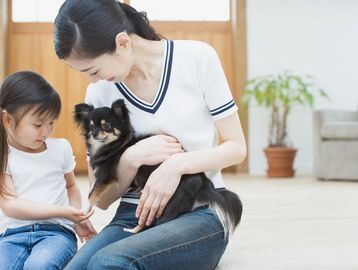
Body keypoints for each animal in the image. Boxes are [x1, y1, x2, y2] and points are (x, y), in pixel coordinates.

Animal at [74, 99, 243, 236]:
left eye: (107, 126)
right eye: (91, 127)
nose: (94, 134)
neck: (114, 146)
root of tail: (203, 182)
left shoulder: (106, 177)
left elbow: (91, 194)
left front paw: (84, 210)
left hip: (163, 202)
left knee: (151, 222)